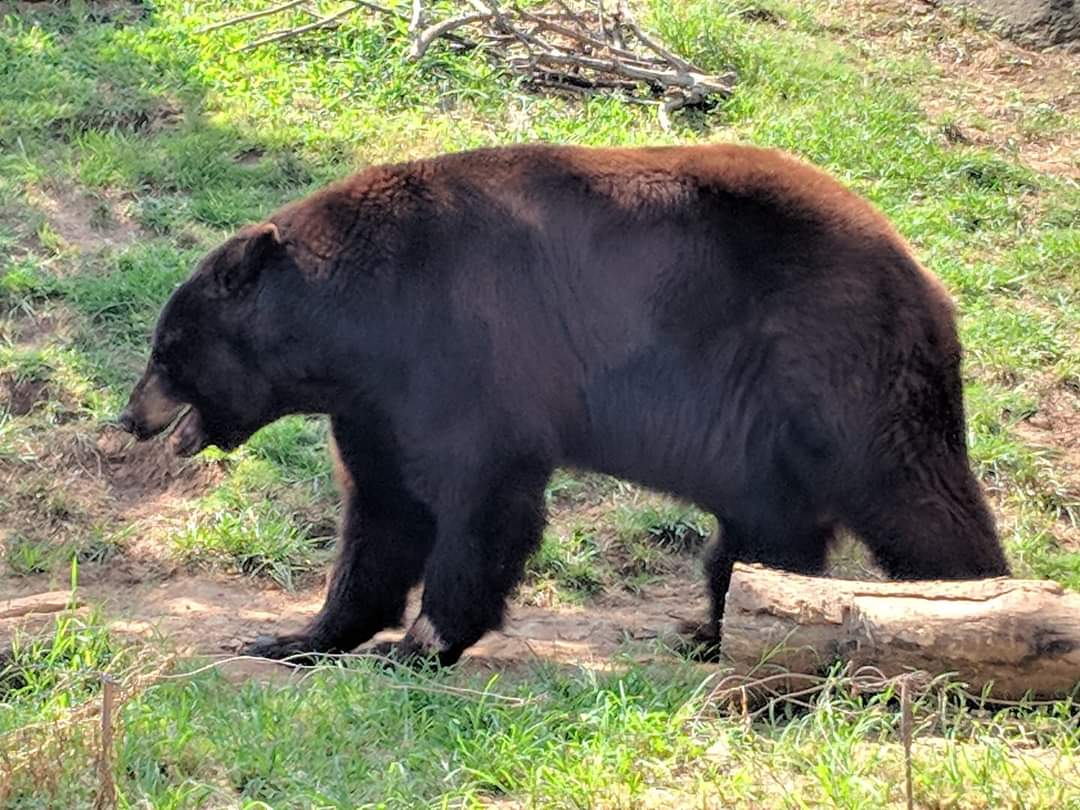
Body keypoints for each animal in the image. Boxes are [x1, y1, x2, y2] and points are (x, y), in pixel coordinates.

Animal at [118, 142, 1010, 666]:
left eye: (165, 350)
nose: (128, 416)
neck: (363, 313)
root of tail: (929, 283)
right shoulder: (375, 402)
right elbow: (382, 511)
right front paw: (294, 633)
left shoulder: (466, 347)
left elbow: (480, 495)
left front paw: (422, 641)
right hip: (760, 432)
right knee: (768, 529)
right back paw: (713, 629)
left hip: (835, 369)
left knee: (912, 495)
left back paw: (973, 614)